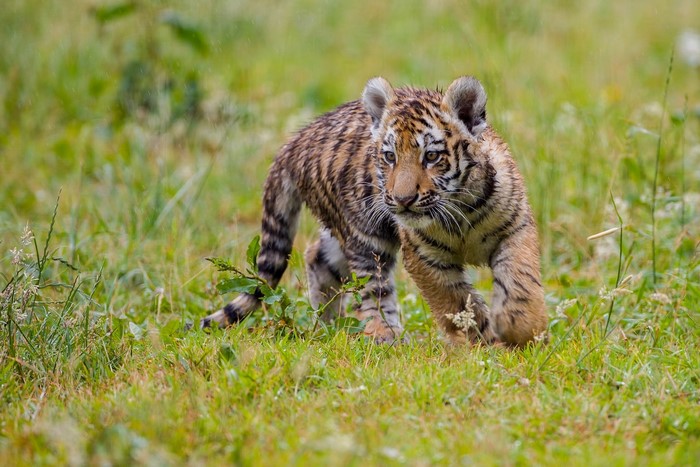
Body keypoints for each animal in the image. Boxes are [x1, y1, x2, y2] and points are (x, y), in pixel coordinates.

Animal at [201, 76, 548, 346]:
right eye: (390, 156)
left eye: (431, 156)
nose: (403, 199)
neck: (461, 209)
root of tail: (295, 141)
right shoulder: (424, 256)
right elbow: (457, 302)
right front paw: (484, 341)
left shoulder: (514, 228)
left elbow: (520, 278)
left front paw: (520, 328)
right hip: (365, 235)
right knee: (372, 289)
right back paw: (383, 335)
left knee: (317, 257)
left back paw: (330, 325)